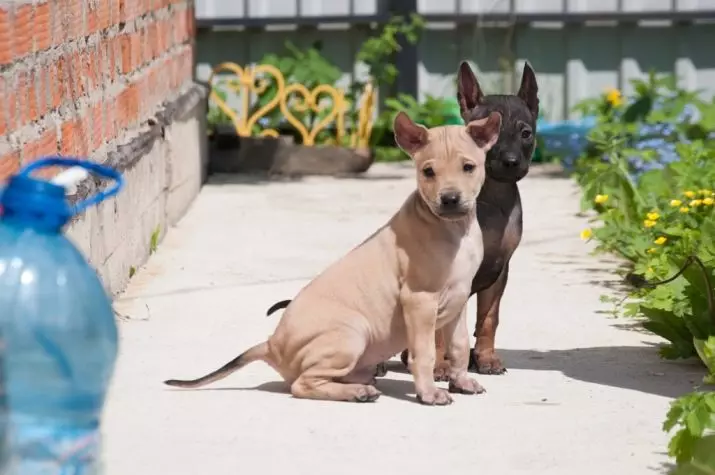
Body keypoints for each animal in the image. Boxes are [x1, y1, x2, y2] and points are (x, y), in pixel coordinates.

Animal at [166, 111, 504, 406]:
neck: (453, 229)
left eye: (469, 167)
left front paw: (461, 382)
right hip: (352, 333)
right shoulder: (419, 301)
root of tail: (272, 344)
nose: (450, 200)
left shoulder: (458, 299)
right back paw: (357, 392)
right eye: (428, 172)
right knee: (302, 384)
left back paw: (362, 382)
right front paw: (429, 393)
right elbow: (426, 353)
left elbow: (458, 347)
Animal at [262, 60, 536, 380]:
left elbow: (489, 318)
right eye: (491, 137)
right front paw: (440, 365)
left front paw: (486, 358)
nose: (510, 162)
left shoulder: (498, 271)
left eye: (526, 133)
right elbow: (436, 331)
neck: (491, 200)